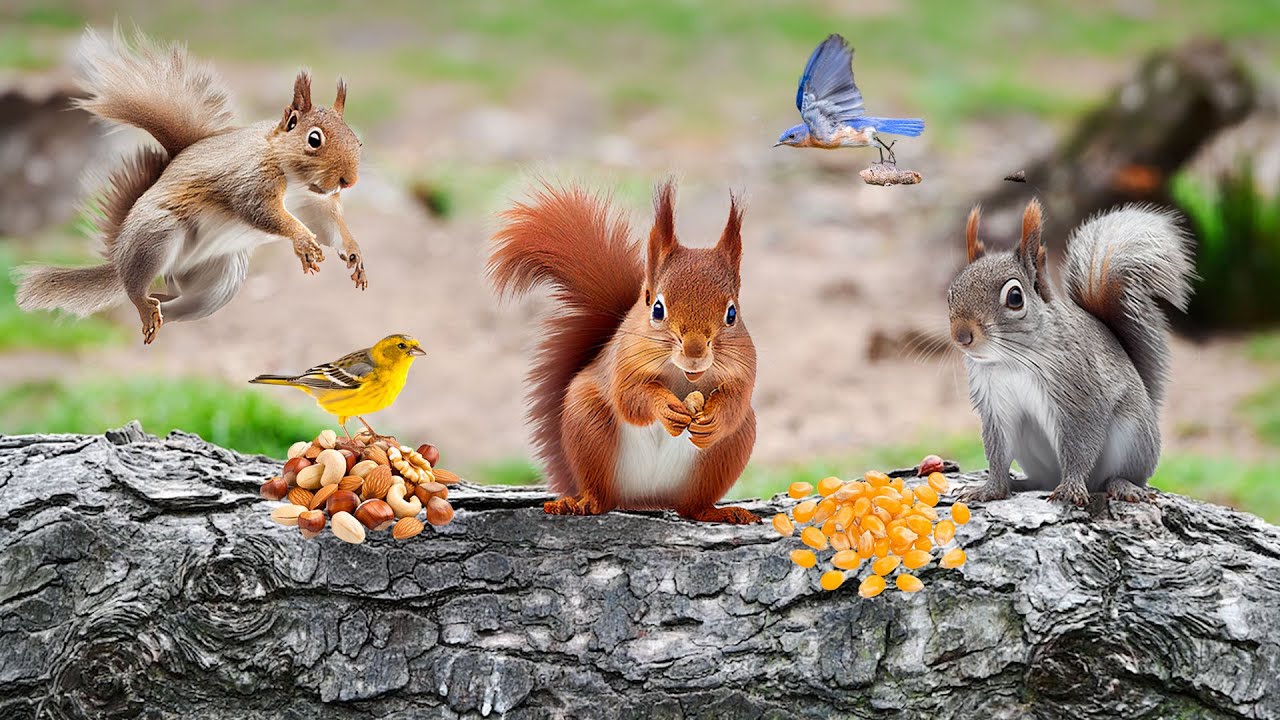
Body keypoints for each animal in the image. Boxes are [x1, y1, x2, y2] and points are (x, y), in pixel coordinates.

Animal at [15, 30, 366, 344]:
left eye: (357, 141)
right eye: (314, 139)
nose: (349, 181)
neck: (297, 183)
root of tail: (120, 256)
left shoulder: (316, 205)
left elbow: (330, 226)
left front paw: (353, 254)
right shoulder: (250, 181)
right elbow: (262, 211)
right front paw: (303, 242)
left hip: (221, 278)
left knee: (176, 302)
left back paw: (159, 311)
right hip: (157, 235)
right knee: (135, 289)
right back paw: (145, 307)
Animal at [488, 180, 760, 524]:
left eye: (732, 314)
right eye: (657, 308)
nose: (694, 353)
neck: (682, 376)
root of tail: (647, 498)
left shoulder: (745, 367)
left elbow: (736, 401)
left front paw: (714, 418)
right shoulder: (624, 361)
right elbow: (630, 398)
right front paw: (665, 407)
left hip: (730, 449)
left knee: (693, 505)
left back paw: (718, 512)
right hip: (588, 423)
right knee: (601, 495)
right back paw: (580, 503)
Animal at [947, 198, 1195, 506]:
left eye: (1015, 297)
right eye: (951, 293)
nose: (961, 335)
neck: (1012, 362)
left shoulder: (1079, 393)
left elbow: (1080, 445)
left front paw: (1071, 488)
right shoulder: (995, 406)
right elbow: (997, 452)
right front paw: (991, 489)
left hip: (1132, 437)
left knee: (1117, 476)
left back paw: (1122, 485)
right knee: (1041, 480)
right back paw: (1023, 484)